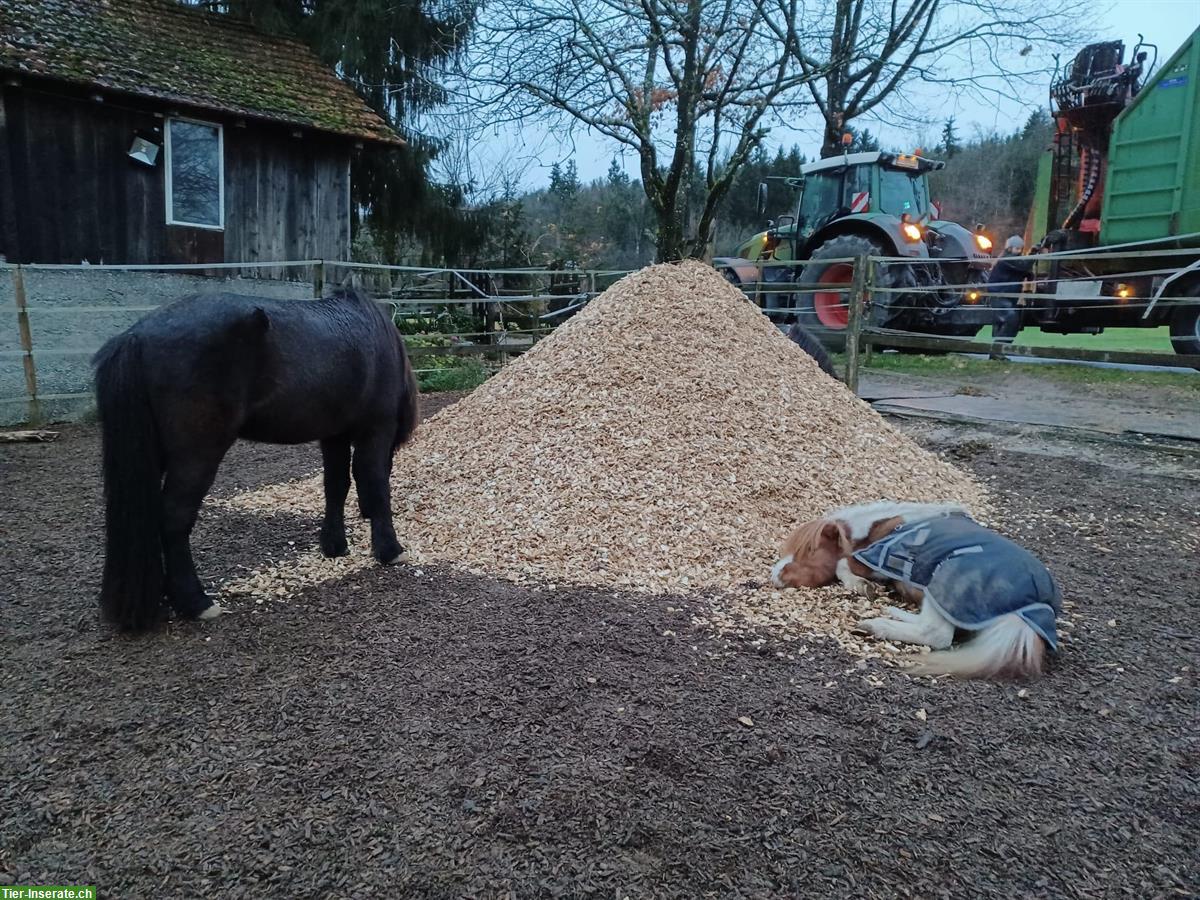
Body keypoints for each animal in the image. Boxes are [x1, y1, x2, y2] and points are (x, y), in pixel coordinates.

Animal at [90, 289, 417, 633]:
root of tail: (137, 336)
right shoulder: (376, 427)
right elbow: (374, 484)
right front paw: (390, 551)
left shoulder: (334, 435)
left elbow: (335, 486)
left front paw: (334, 545)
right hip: (196, 457)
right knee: (174, 518)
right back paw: (195, 602)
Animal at [768, 501, 1060, 681]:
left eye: (809, 551)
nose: (774, 576)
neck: (879, 530)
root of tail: (1030, 608)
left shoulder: (875, 559)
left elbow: (842, 564)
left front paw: (863, 587)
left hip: (943, 578)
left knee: (937, 633)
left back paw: (876, 624)